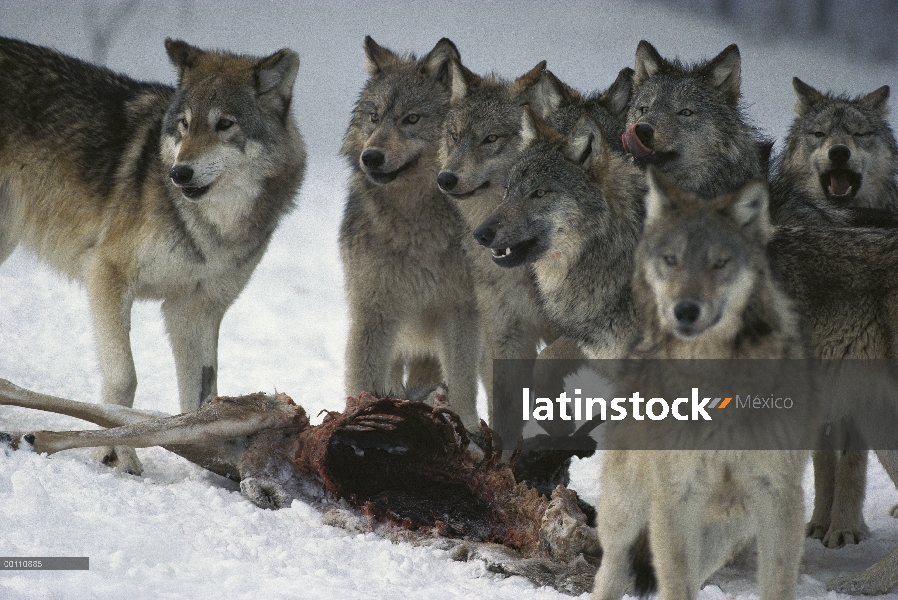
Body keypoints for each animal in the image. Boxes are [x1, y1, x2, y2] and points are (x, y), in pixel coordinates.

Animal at [0, 36, 306, 474]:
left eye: (224, 124)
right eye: (185, 124)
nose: (180, 173)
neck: (211, 228)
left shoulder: (195, 310)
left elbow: (199, 400)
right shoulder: (106, 274)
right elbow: (124, 379)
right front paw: (116, 456)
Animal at [336, 36, 480, 426]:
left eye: (411, 118)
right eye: (373, 117)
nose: (370, 157)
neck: (416, 222)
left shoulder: (460, 310)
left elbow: (464, 383)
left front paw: (470, 428)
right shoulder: (373, 310)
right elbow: (363, 377)